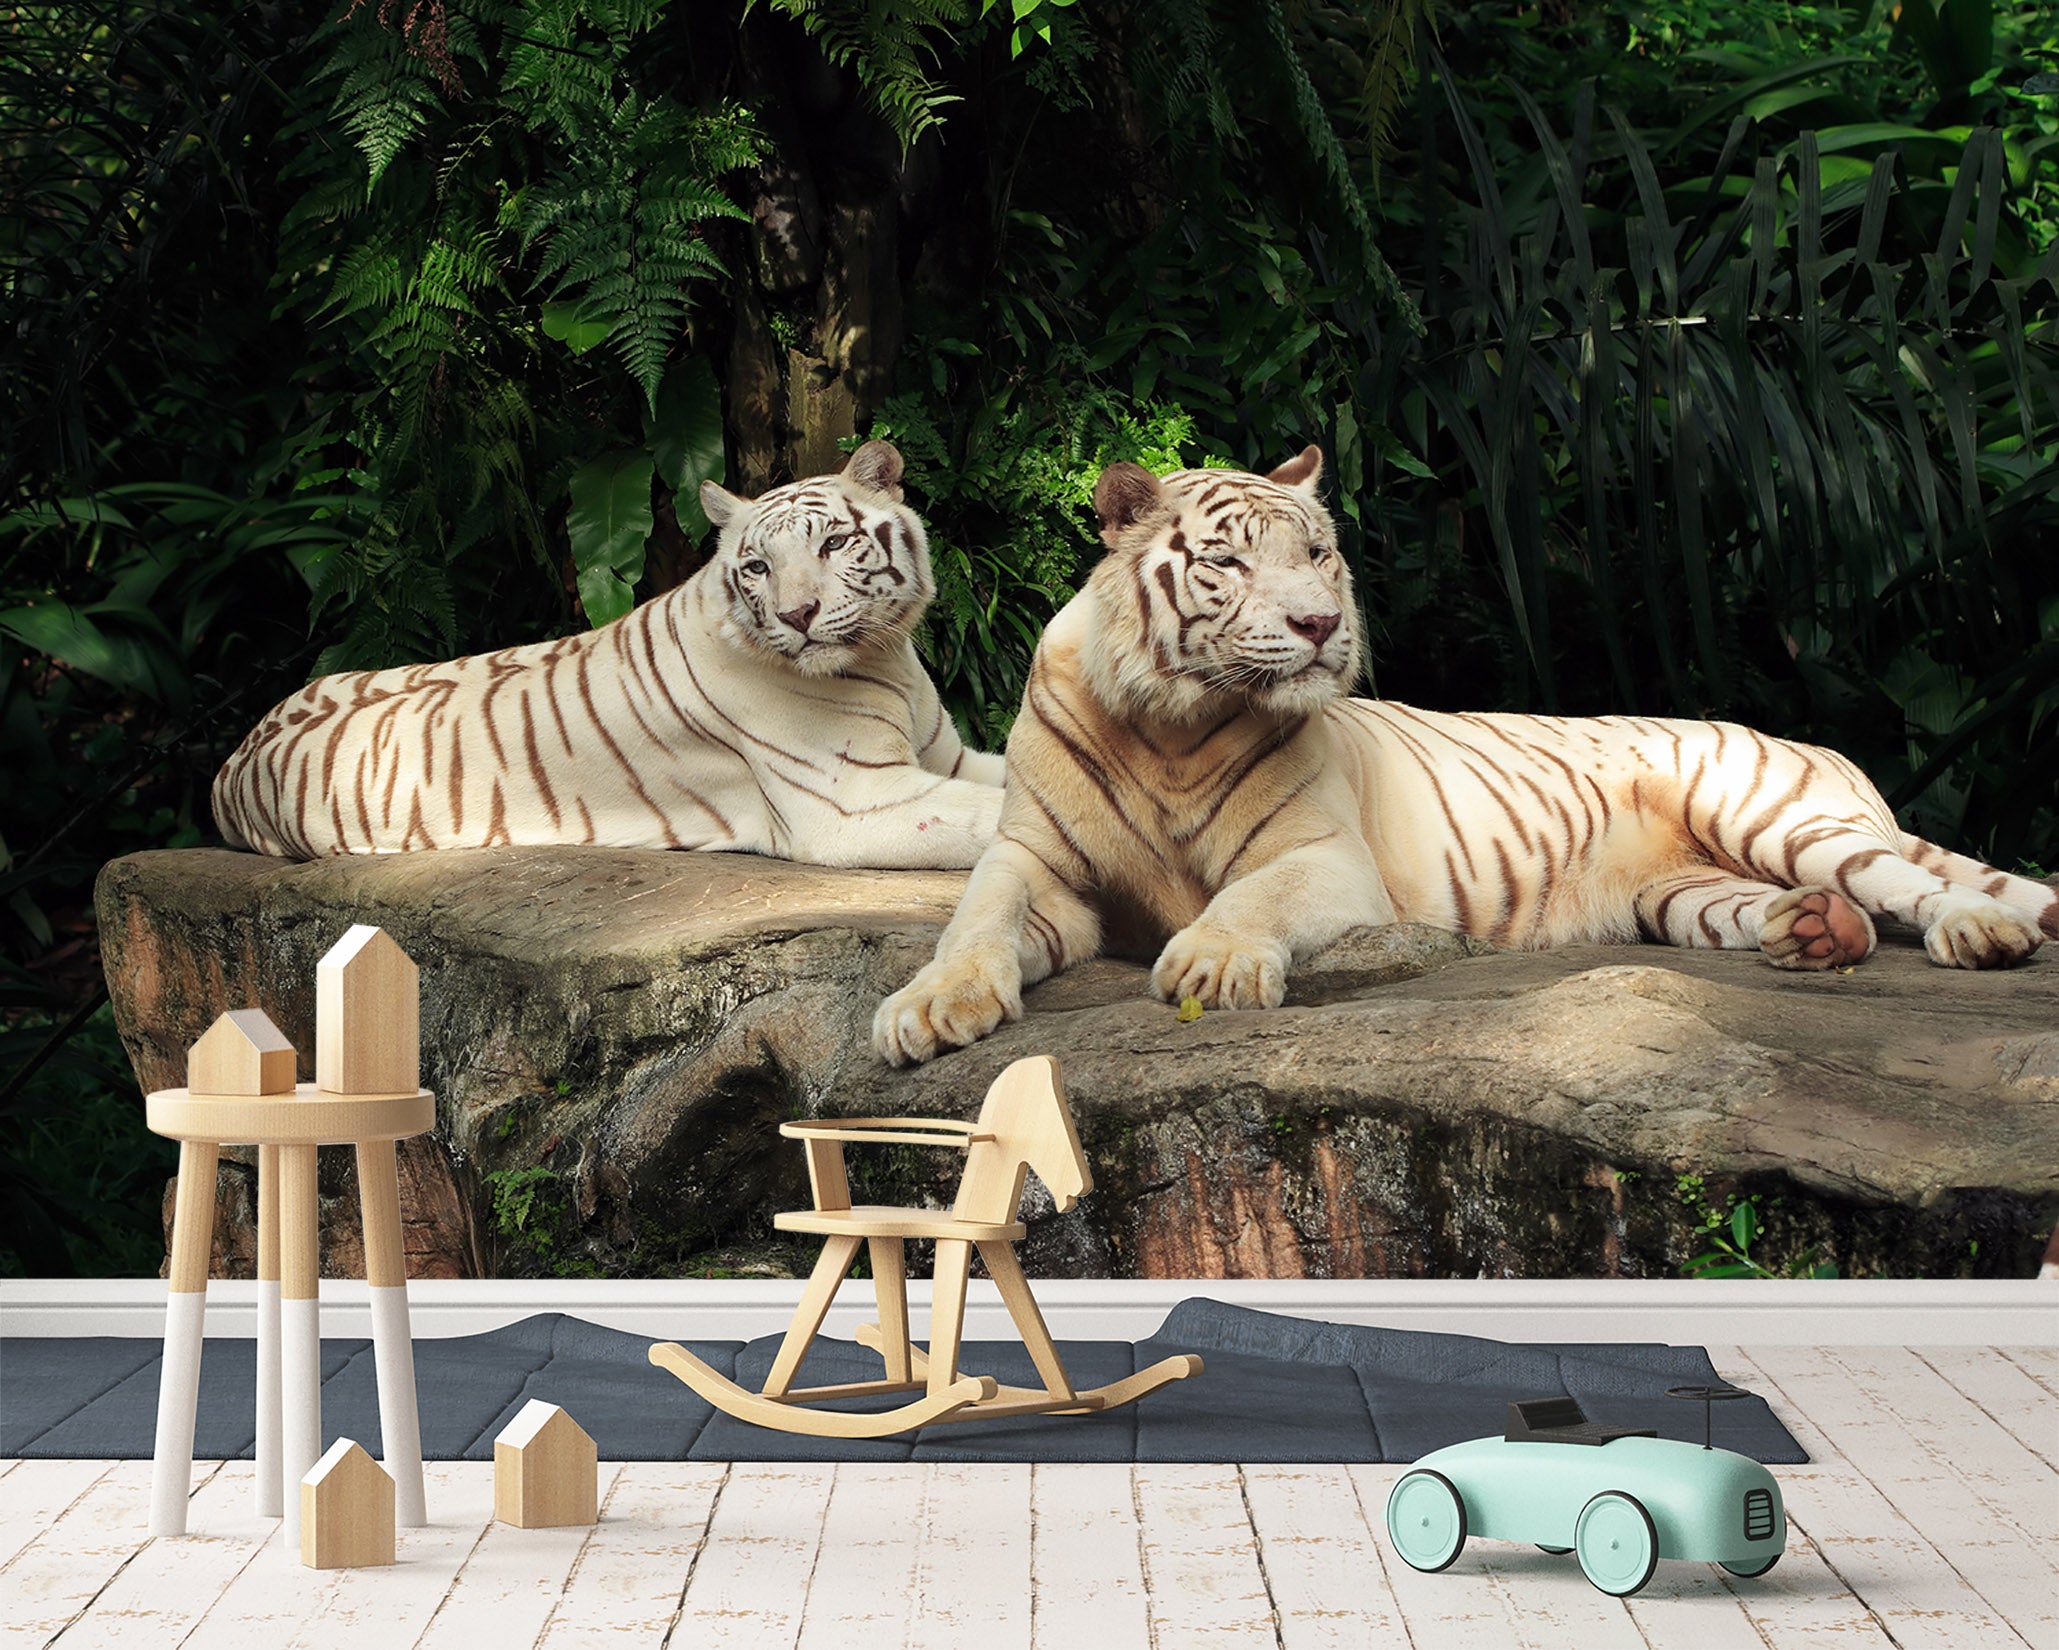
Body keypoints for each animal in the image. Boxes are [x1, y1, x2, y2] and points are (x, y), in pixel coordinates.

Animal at [212, 441, 1006, 869]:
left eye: (835, 544)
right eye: (756, 568)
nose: (796, 616)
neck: (885, 658)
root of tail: (230, 762)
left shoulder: (946, 759)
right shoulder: (856, 801)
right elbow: (997, 817)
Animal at [873, 447, 2056, 1065]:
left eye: (1318, 554)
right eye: (1227, 563)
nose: (1318, 625)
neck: (1168, 722)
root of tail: (1822, 750)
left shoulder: (1321, 858)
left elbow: (1248, 900)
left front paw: (1211, 963)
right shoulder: (1037, 862)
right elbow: (975, 920)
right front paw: (928, 1009)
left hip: (1770, 813)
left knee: (1905, 878)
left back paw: (1978, 933)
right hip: (1683, 892)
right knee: (1796, 906)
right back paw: (1816, 934)